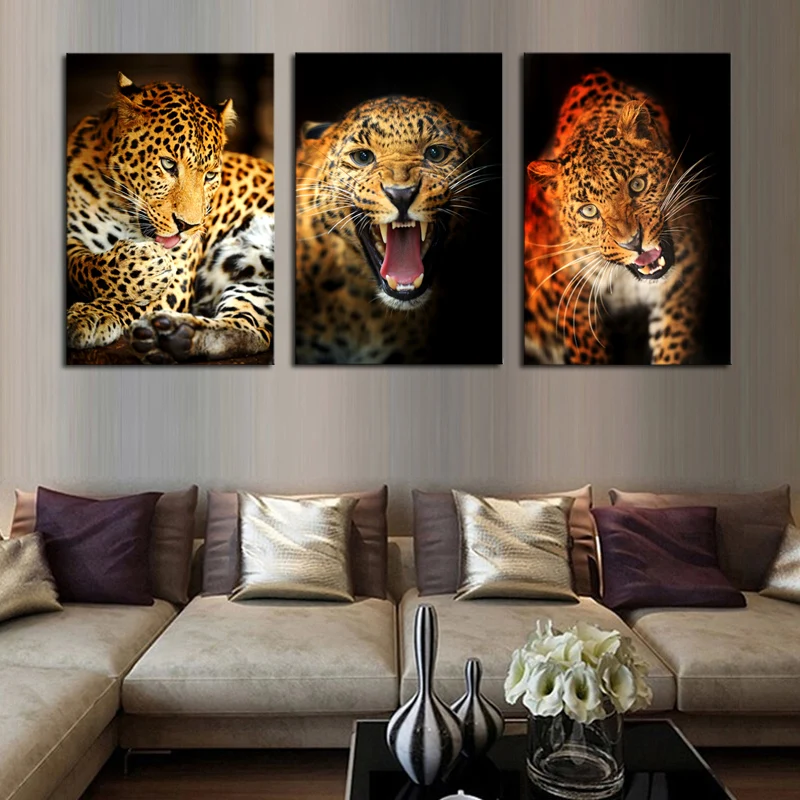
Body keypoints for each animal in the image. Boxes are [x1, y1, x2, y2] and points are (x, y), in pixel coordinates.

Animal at [66, 72, 274, 364]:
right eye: (167, 164)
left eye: (210, 175)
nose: (189, 226)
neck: (121, 210)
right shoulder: (71, 236)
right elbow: (84, 267)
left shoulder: (179, 277)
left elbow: (130, 301)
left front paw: (93, 315)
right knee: (251, 329)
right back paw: (174, 337)